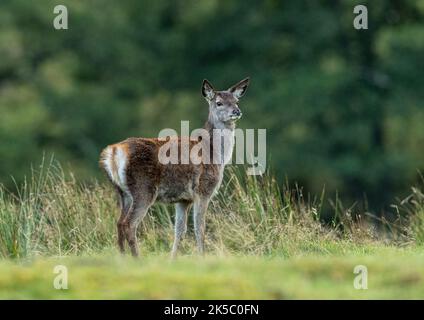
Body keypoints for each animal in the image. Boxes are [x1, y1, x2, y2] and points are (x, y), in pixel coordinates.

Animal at [98, 77, 252, 258]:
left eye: (236, 101)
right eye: (219, 102)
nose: (236, 111)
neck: (214, 153)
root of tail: (113, 152)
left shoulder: (183, 199)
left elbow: (180, 230)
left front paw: (172, 258)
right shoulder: (203, 190)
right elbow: (200, 228)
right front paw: (202, 256)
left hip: (123, 193)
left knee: (119, 223)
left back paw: (122, 257)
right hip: (143, 188)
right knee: (129, 224)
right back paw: (137, 258)